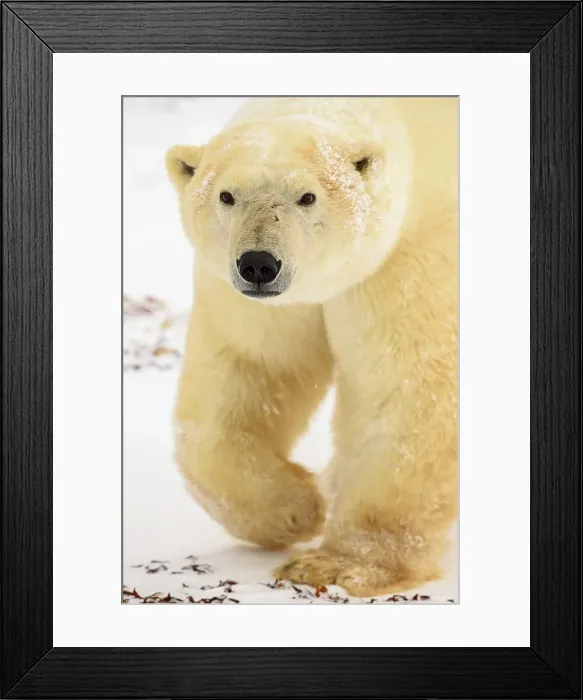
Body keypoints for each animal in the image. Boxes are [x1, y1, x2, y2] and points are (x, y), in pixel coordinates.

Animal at [166, 97, 458, 597]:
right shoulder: (258, 301)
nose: (258, 264)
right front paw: (297, 510)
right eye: (227, 196)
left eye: (307, 197)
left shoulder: (408, 259)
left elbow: (405, 388)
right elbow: (253, 369)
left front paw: (339, 565)